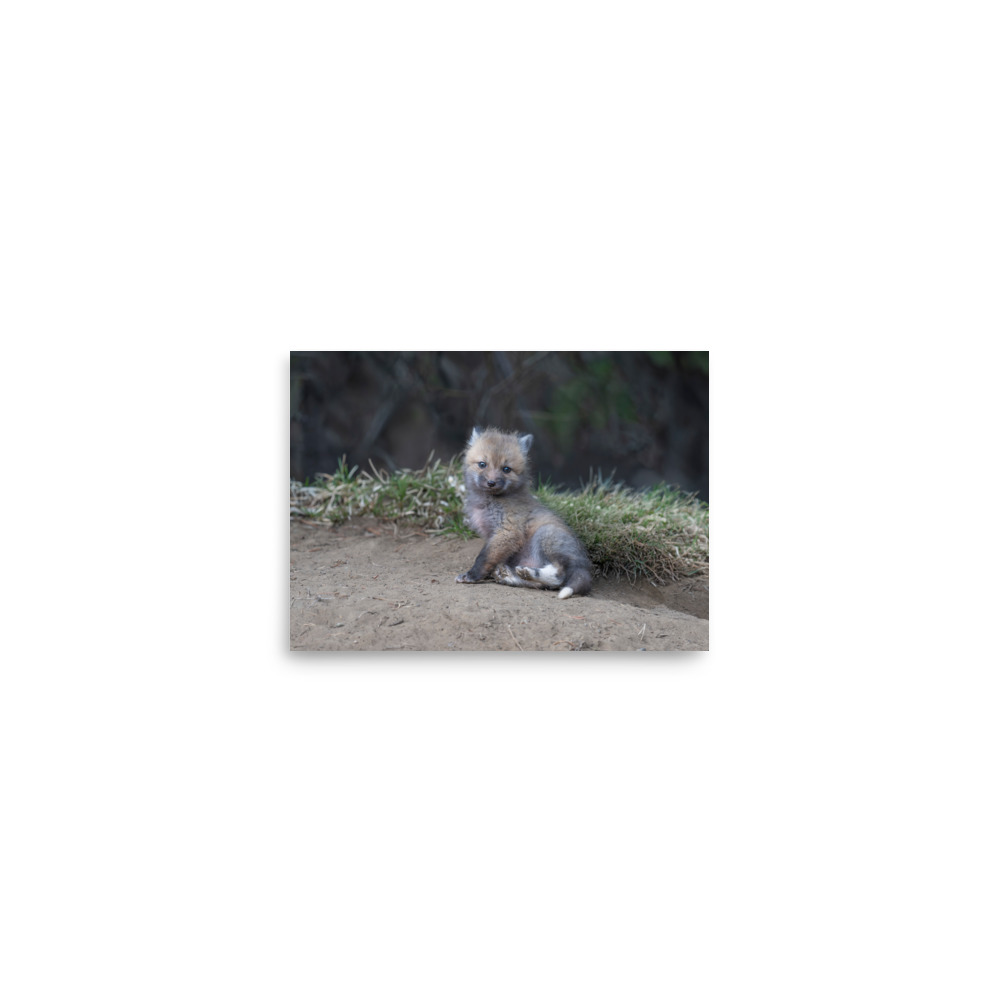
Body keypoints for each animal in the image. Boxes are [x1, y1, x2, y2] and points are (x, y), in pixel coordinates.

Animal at [455, 426, 593, 599]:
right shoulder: (493, 535)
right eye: (482, 464)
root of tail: (585, 566)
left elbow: (484, 557)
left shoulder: (508, 531)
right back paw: (511, 576)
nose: (491, 483)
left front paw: (472, 575)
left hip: (545, 535)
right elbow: (492, 557)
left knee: (558, 576)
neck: (490, 502)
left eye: (506, 469)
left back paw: (528, 573)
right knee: (542, 585)